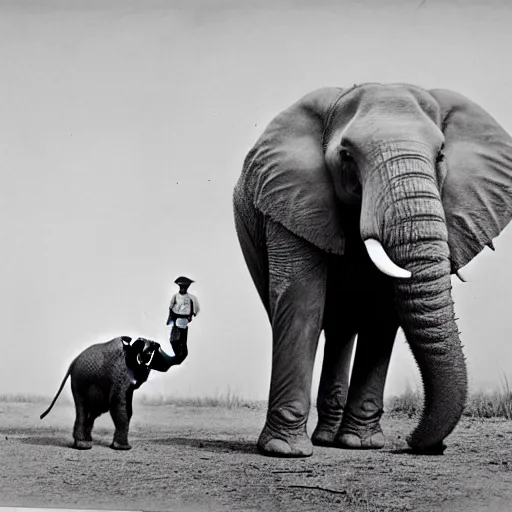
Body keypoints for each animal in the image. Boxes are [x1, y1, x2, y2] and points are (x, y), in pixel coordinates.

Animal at [233, 82, 512, 458]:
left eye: (441, 155)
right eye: (346, 156)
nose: (418, 444)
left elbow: (381, 312)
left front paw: (361, 445)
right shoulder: (291, 200)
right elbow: (302, 299)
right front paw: (284, 451)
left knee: (341, 330)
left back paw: (332, 440)